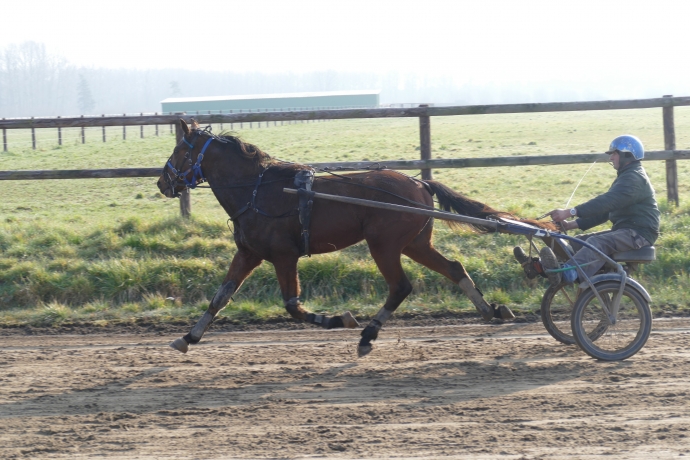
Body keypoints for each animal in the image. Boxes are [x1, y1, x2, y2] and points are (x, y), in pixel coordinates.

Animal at [157, 119, 552, 356]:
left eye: (180, 150)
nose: (162, 182)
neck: (257, 190)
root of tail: (419, 183)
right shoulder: (248, 253)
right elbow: (219, 297)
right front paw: (188, 337)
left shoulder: (284, 256)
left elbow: (293, 306)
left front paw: (340, 320)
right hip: (415, 243)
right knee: (453, 268)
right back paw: (489, 310)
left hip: (384, 244)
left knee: (400, 287)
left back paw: (368, 335)